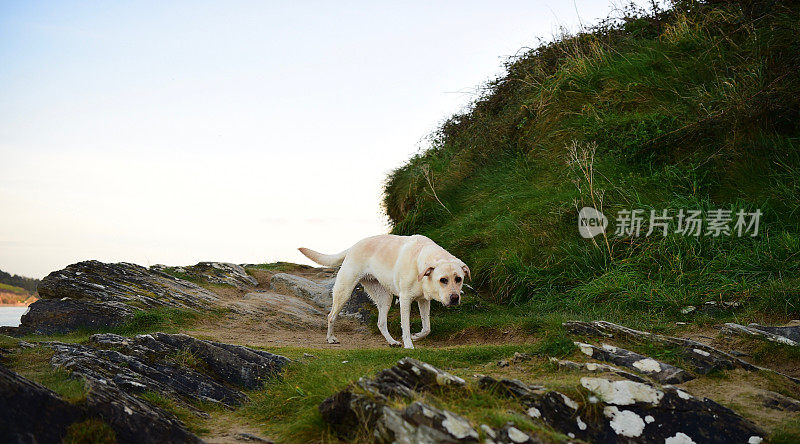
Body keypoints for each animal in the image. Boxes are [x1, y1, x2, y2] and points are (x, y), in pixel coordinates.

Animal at [298, 234, 468, 348]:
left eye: (458, 279)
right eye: (443, 280)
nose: (455, 298)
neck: (420, 264)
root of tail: (354, 245)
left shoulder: (423, 300)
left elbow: (427, 328)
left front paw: (417, 336)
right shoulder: (405, 300)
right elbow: (405, 326)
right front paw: (409, 344)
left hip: (385, 299)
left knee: (380, 323)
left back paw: (392, 342)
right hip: (344, 292)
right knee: (331, 316)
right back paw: (331, 338)